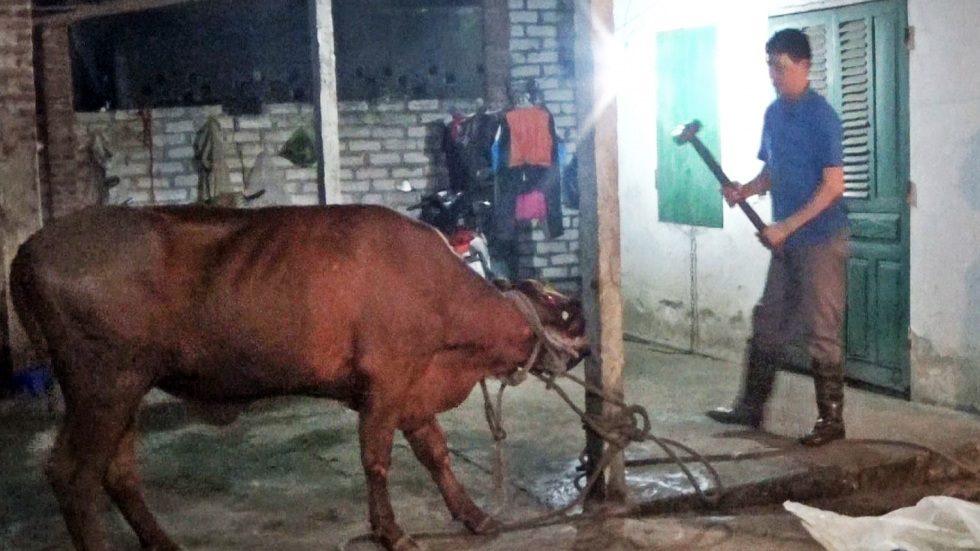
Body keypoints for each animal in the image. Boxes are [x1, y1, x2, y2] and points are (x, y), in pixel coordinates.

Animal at [9, 205, 588, 548]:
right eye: (564, 311)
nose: (585, 347)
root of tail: (31, 246)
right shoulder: (386, 384)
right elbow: (376, 461)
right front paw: (392, 532)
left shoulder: (413, 388)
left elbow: (436, 453)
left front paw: (475, 516)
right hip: (102, 386)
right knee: (73, 475)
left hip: (124, 390)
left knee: (119, 472)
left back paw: (164, 543)